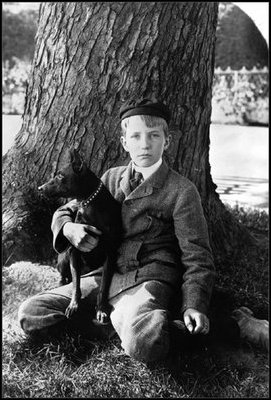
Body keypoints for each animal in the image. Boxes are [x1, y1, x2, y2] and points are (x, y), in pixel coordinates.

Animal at [38, 148, 122, 324]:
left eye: (60, 175)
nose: (40, 188)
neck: (88, 203)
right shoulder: (74, 251)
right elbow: (76, 284)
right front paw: (73, 305)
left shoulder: (110, 254)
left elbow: (104, 285)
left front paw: (101, 309)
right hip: (64, 256)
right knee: (65, 275)